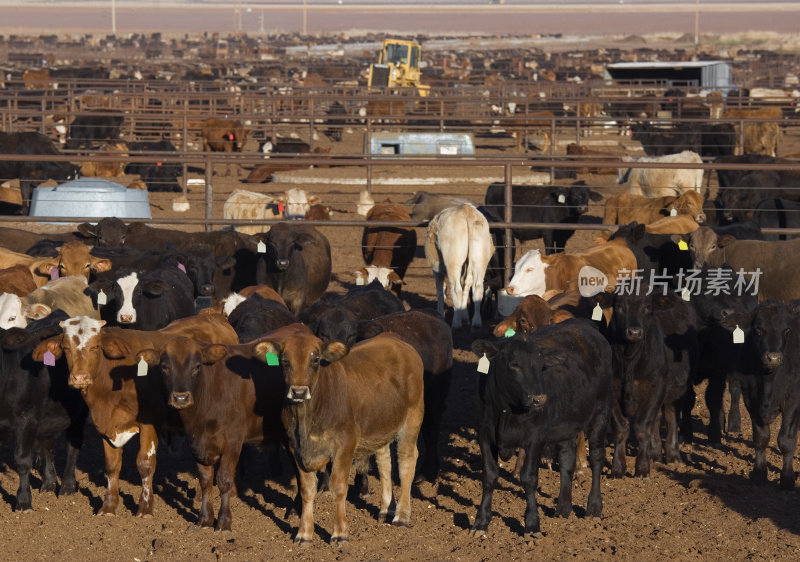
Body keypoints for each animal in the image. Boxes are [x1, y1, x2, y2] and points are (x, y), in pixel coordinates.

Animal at [0, 308, 86, 510]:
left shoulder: (26, 419)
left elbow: (23, 461)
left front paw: (24, 501)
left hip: (79, 414)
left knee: (72, 446)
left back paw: (67, 486)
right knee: (48, 446)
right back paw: (48, 483)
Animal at [32, 312, 238, 516]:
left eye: (96, 346)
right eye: (66, 348)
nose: (79, 378)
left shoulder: (149, 423)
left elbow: (145, 464)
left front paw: (145, 508)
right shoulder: (105, 425)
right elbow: (112, 466)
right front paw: (109, 506)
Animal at [256, 324, 424, 544]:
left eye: (315, 359)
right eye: (284, 360)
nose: (299, 392)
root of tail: (394, 339)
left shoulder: (345, 444)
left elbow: (338, 486)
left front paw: (340, 532)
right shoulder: (295, 448)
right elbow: (307, 490)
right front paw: (304, 533)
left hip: (413, 418)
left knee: (406, 461)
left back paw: (402, 515)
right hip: (381, 425)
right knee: (384, 462)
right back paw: (386, 509)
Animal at [468, 318, 612, 536]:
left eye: (541, 365)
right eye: (513, 364)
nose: (539, 398)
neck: (507, 411)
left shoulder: (536, 438)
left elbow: (529, 478)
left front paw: (532, 524)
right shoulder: (484, 434)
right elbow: (490, 476)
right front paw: (481, 522)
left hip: (601, 411)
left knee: (596, 457)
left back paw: (594, 507)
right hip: (567, 424)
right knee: (567, 461)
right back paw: (563, 508)